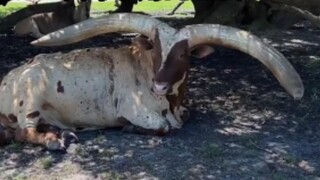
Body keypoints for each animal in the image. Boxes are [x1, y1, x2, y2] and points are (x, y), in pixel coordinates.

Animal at [0, 13, 304, 150]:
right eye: (156, 51)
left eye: (182, 54)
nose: (158, 85)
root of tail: (8, 78)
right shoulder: (132, 108)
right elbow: (162, 127)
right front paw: (130, 128)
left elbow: (185, 115)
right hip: (30, 98)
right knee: (24, 132)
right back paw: (54, 140)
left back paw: (62, 133)